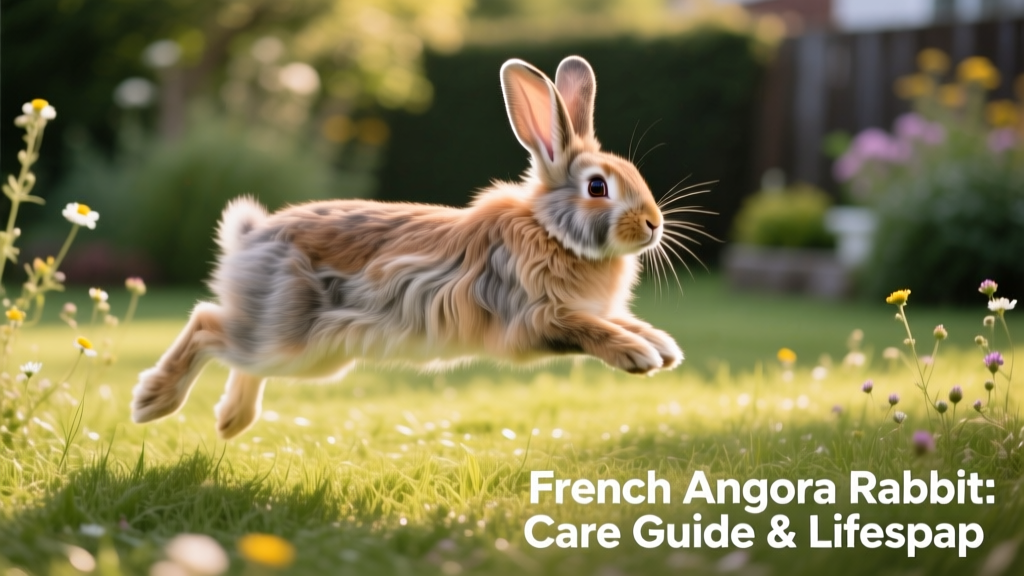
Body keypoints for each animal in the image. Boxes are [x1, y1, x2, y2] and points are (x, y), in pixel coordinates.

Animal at [131, 55, 687, 439]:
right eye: (597, 187)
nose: (653, 224)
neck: (551, 230)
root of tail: (250, 239)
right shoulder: (537, 316)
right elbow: (591, 328)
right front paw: (638, 354)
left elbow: (621, 319)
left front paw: (663, 347)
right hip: (282, 337)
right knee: (207, 323)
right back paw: (153, 402)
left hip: (309, 357)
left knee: (239, 355)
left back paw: (231, 421)